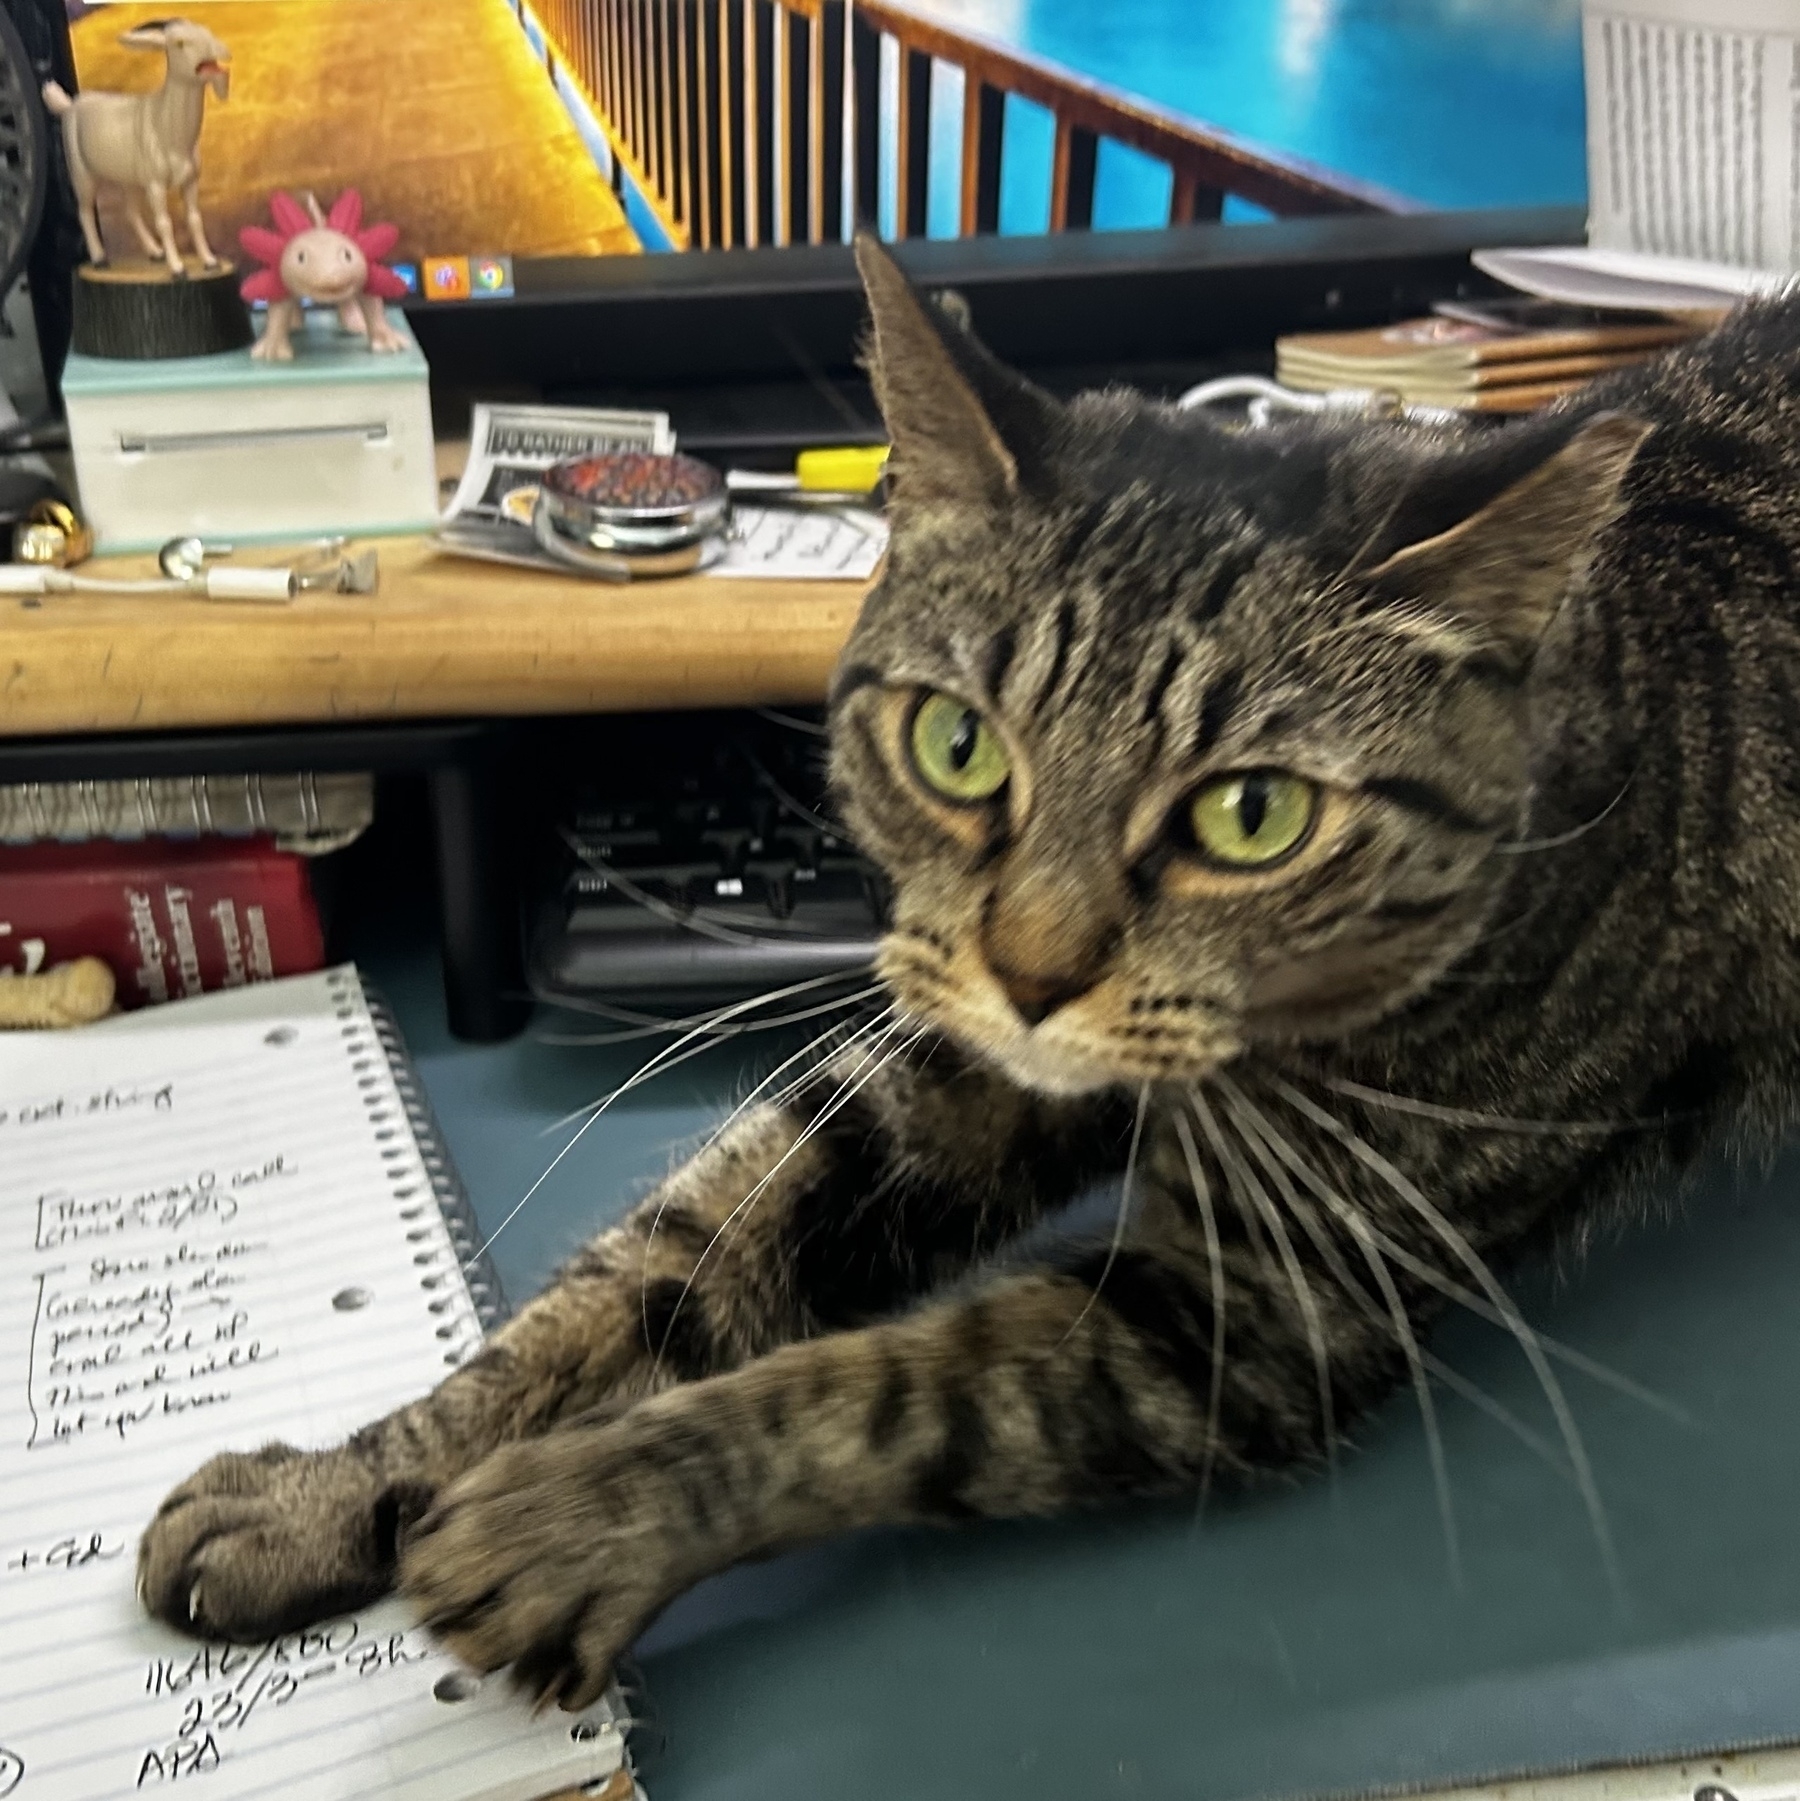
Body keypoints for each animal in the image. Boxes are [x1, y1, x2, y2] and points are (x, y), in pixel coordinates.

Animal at [144, 243, 1800, 1714]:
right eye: (958, 744)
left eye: (1252, 816)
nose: (1034, 974)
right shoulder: (934, 1078)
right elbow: (647, 1278)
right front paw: (339, 1486)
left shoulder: (1255, 1311)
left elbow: (871, 1392)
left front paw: (581, 1512)